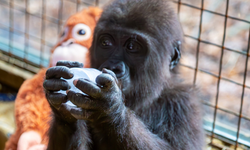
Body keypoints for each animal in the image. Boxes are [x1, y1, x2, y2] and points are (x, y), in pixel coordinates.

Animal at [43, 0, 203, 149]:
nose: (113, 67)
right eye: (106, 43)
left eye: (132, 47)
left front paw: (110, 109)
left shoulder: (183, 103)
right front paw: (62, 113)